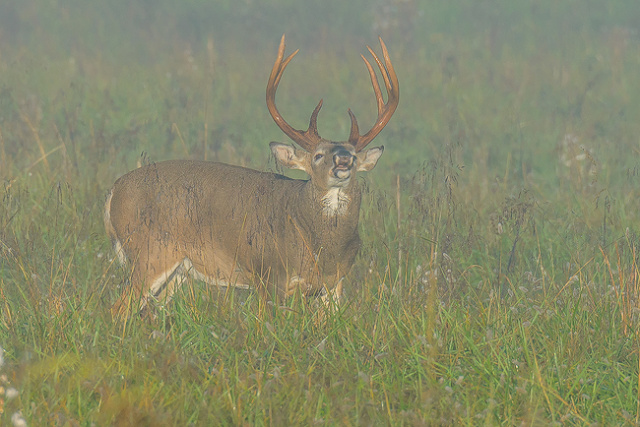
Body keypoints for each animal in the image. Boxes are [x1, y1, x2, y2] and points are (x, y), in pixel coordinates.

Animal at [103, 35, 398, 320]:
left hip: (178, 271)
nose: (343, 160)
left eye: (355, 155)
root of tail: (114, 190)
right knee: (117, 309)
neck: (318, 242)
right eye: (317, 155)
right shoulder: (267, 272)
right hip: (149, 251)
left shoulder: (335, 283)